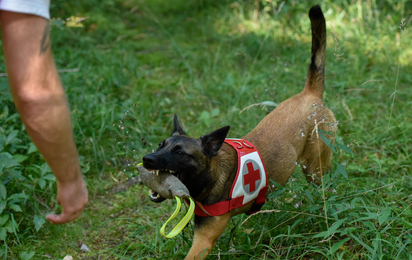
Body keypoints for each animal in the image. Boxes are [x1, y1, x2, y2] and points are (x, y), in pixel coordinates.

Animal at [141, 5, 334, 258]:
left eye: (180, 153)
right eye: (160, 145)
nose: (147, 159)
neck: (211, 175)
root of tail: (310, 95)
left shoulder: (203, 241)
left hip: (315, 169)